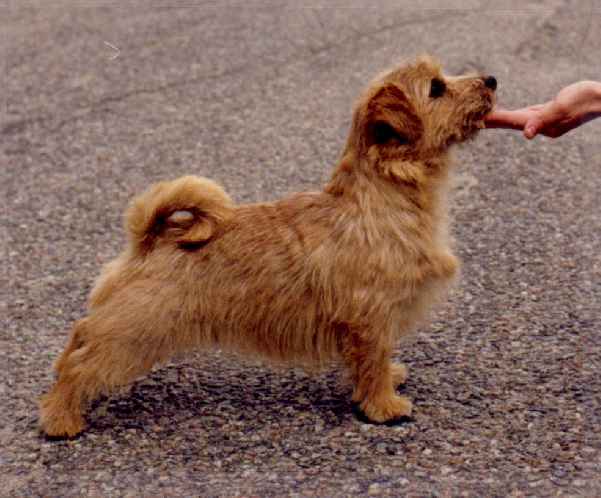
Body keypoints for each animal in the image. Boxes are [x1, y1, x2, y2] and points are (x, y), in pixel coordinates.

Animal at [38, 55, 496, 436]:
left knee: (77, 341)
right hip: (136, 329)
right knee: (79, 363)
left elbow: (373, 363)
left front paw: (386, 383)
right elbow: (372, 363)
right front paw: (384, 407)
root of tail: (148, 239)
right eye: (436, 88)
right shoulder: (370, 318)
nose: (491, 79)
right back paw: (60, 419)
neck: (382, 201)